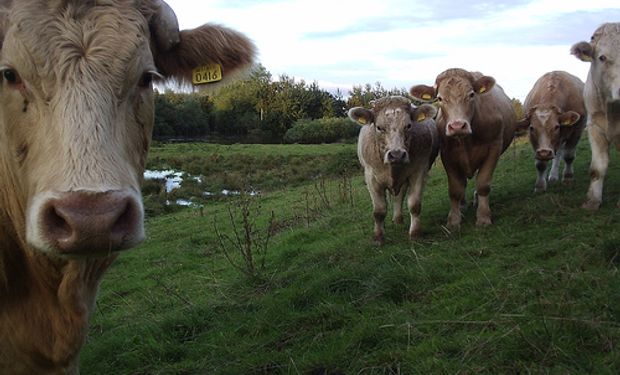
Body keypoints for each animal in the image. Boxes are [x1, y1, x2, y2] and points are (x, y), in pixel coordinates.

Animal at [346, 95, 438, 245]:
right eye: (379, 127)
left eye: (408, 125)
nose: (397, 155)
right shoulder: (371, 177)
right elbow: (379, 211)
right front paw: (378, 237)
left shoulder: (419, 171)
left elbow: (414, 204)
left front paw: (415, 233)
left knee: (399, 196)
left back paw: (398, 219)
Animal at [412, 69, 520, 231]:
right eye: (440, 98)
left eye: (471, 94)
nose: (457, 126)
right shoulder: (447, 155)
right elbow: (455, 189)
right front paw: (453, 220)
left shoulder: (494, 147)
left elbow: (483, 184)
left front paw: (483, 217)